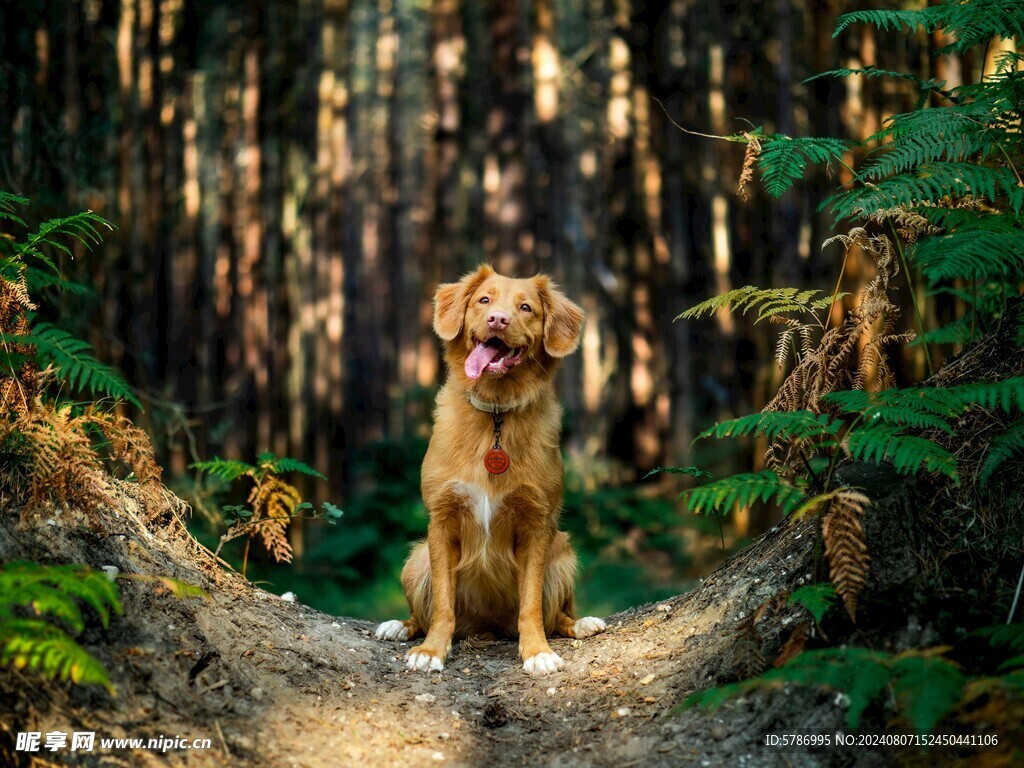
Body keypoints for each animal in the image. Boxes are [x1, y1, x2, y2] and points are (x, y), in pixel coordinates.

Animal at [376, 268, 602, 675]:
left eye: (526, 308)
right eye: (484, 300)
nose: (498, 319)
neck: (496, 412)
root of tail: (488, 627)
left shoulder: (536, 525)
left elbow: (531, 605)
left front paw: (536, 651)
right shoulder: (442, 522)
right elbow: (443, 604)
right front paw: (432, 650)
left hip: (563, 555)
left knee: (558, 615)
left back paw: (580, 623)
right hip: (416, 560)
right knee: (422, 613)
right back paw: (400, 626)